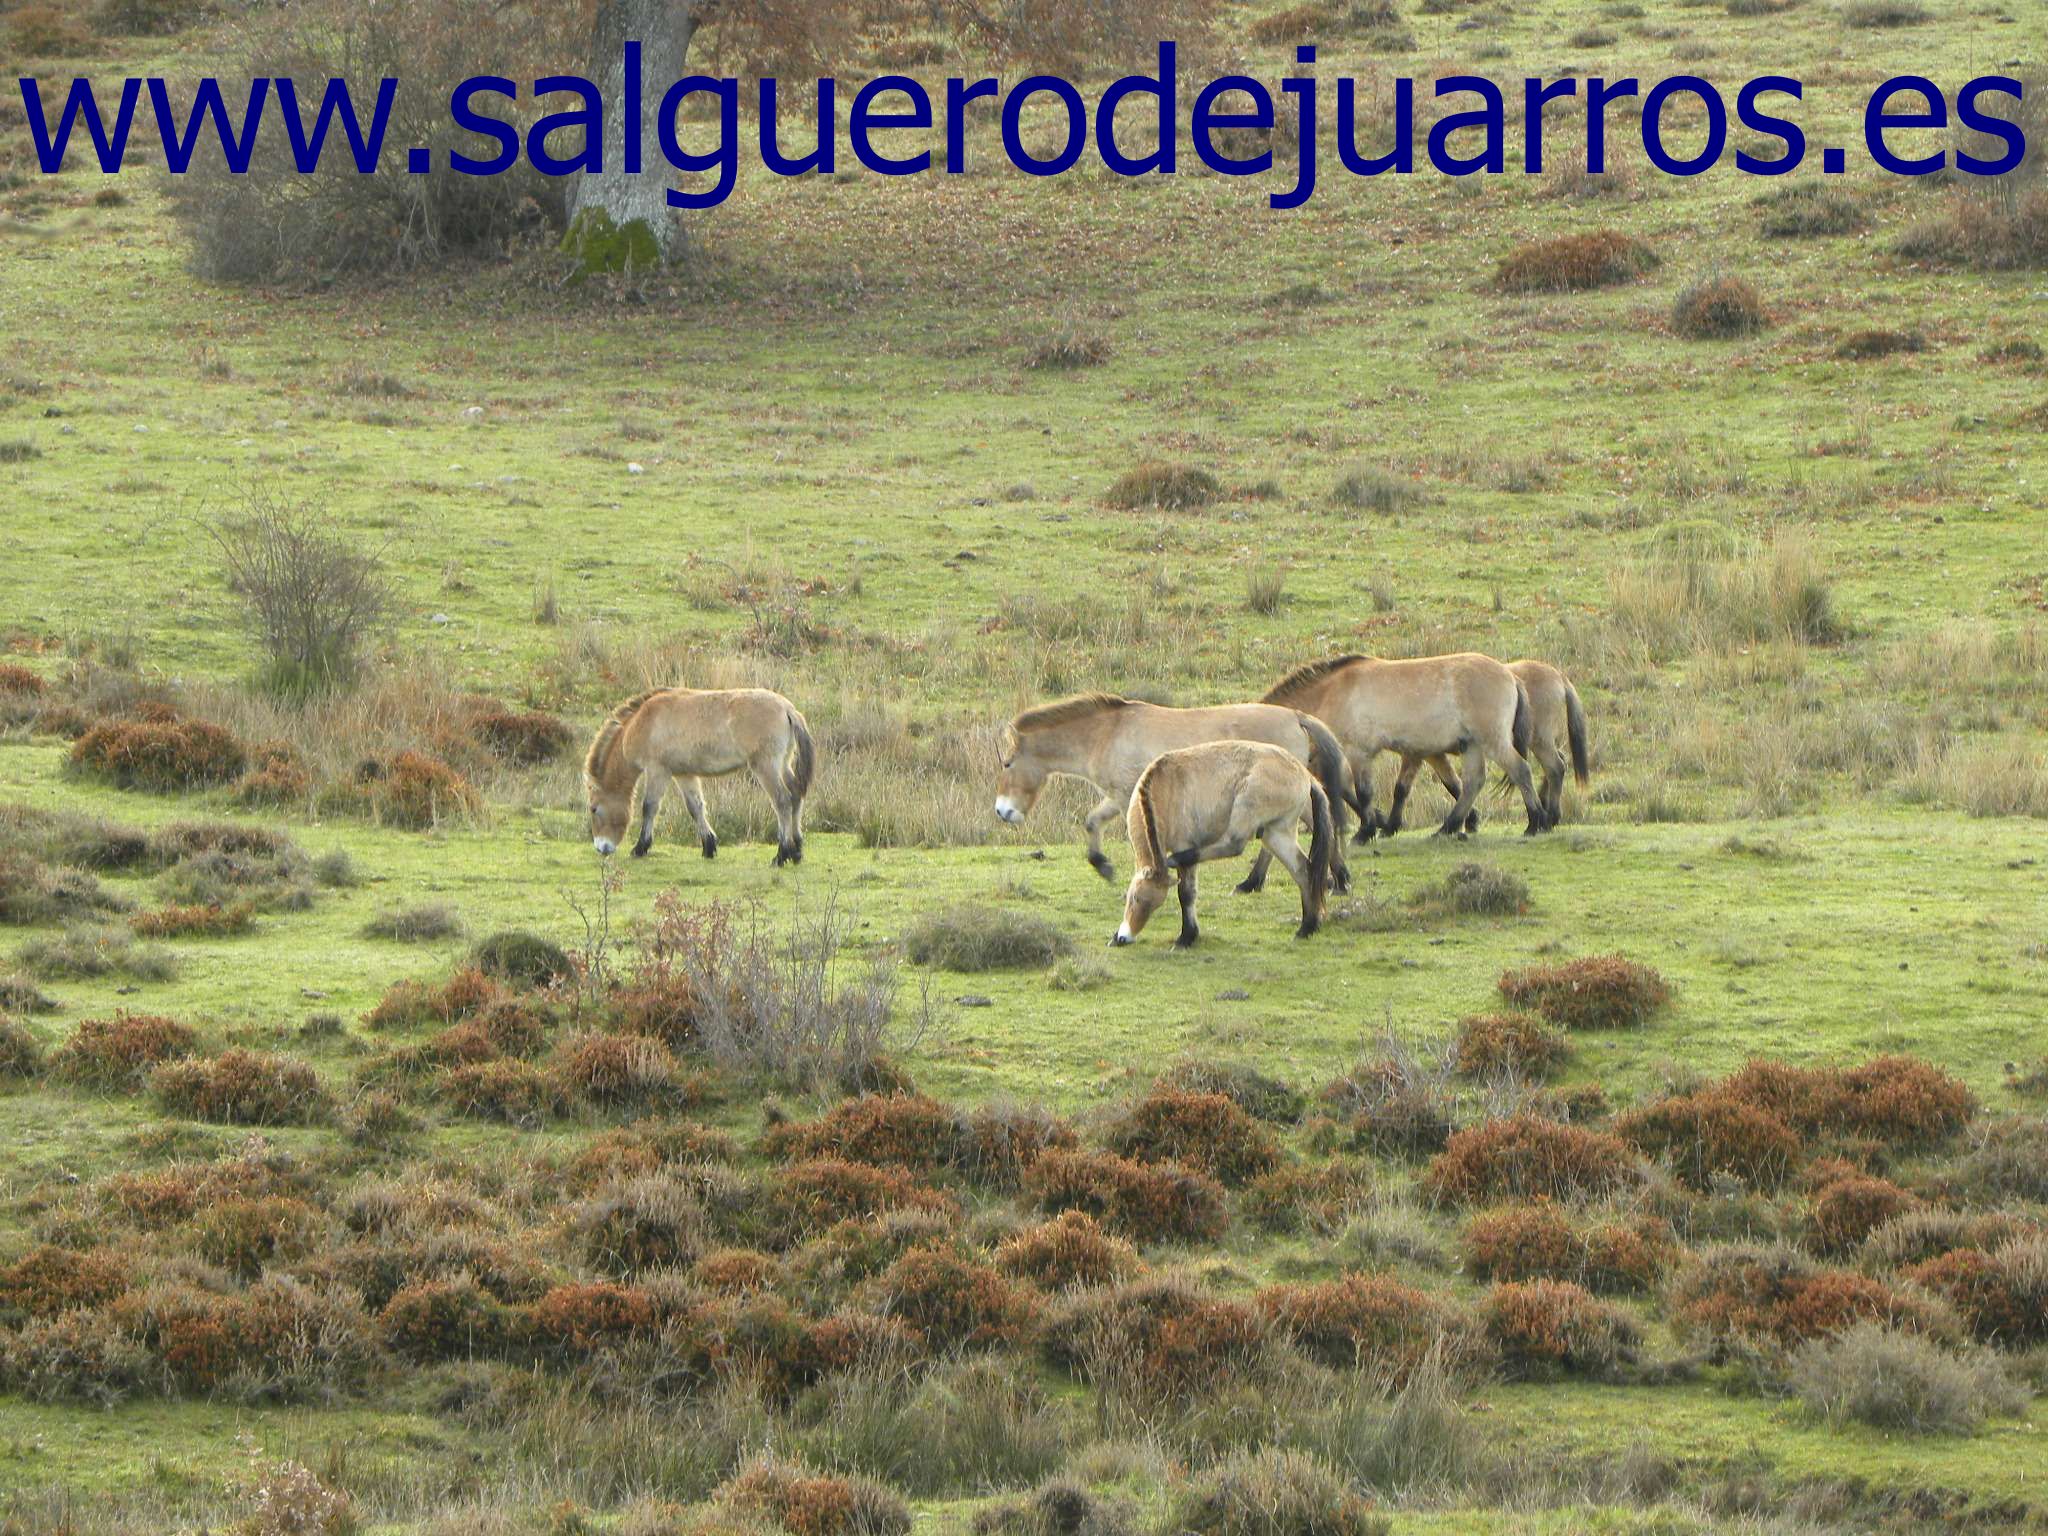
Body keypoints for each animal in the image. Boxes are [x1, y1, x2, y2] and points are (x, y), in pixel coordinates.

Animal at [583, 687, 814, 865]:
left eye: (594, 809)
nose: (602, 848)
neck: (643, 721)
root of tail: (787, 709)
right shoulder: (684, 774)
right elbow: (696, 807)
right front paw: (708, 846)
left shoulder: (658, 770)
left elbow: (649, 807)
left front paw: (640, 848)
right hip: (783, 764)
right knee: (796, 796)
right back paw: (796, 851)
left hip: (766, 767)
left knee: (782, 801)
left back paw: (781, 855)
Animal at [994, 693, 1354, 891]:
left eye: (1007, 763)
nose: (1002, 811)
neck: (1106, 734)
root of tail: (1297, 717)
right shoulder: (1118, 796)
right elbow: (1092, 822)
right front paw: (1102, 865)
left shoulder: (1128, 798)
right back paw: (1254, 883)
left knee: (1320, 824)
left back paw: (1337, 879)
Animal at [1115, 741, 1333, 947]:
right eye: (1134, 898)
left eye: (1151, 904)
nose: (1124, 938)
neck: (1163, 786)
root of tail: (1305, 774)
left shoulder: (1183, 844)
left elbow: (1186, 894)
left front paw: (1186, 938)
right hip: (1276, 833)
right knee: (1303, 871)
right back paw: (1307, 928)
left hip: (1250, 813)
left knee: (1234, 845)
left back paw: (1175, 860)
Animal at [1258, 652, 1546, 843]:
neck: (1331, 693)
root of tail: (1510, 676)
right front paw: (1379, 825)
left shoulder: (1358, 753)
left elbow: (1363, 792)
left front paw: (1366, 832)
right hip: (1472, 745)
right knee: (1473, 783)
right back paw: (1448, 828)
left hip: (1492, 740)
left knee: (1521, 770)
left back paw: (1536, 822)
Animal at [1376, 659, 1590, 834]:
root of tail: (1558, 676)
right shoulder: (1435, 755)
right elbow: (1453, 784)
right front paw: (1470, 820)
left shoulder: (1417, 754)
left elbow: (1402, 788)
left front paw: (1389, 826)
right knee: (1558, 763)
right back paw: (1547, 813)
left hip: (1537, 739)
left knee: (1554, 767)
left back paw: (1547, 817)